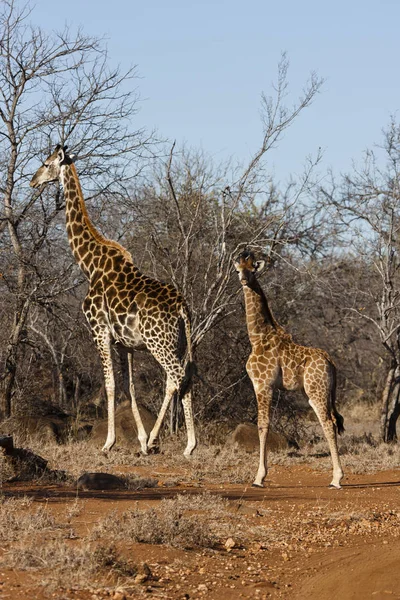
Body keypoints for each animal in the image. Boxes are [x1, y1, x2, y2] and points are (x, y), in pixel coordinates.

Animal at [30, 144, 196, 454]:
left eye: (46, 164)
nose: (33, 181)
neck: (89, 265)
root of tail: (182, 307)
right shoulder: (125, 344)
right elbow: (129, 387)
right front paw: (140, 439)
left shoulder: (99, 331)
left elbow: (110, 386)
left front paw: (109, 442)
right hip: (177, 342)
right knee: (181, 377)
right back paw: (171, 443)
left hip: (158, 343)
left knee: (177, 377)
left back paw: (175, 443)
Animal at [234, 248, 344, 488]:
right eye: (238, 270)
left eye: (252, 269)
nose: (244, 280)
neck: (257, 337)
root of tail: (330, 362)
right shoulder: (264, 386)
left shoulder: (263, 384)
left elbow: (262, 424)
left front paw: (259, 478)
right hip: (316, 392)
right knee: (332, 420)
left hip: (317, 389)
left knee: (328, 422)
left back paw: (337, 479)